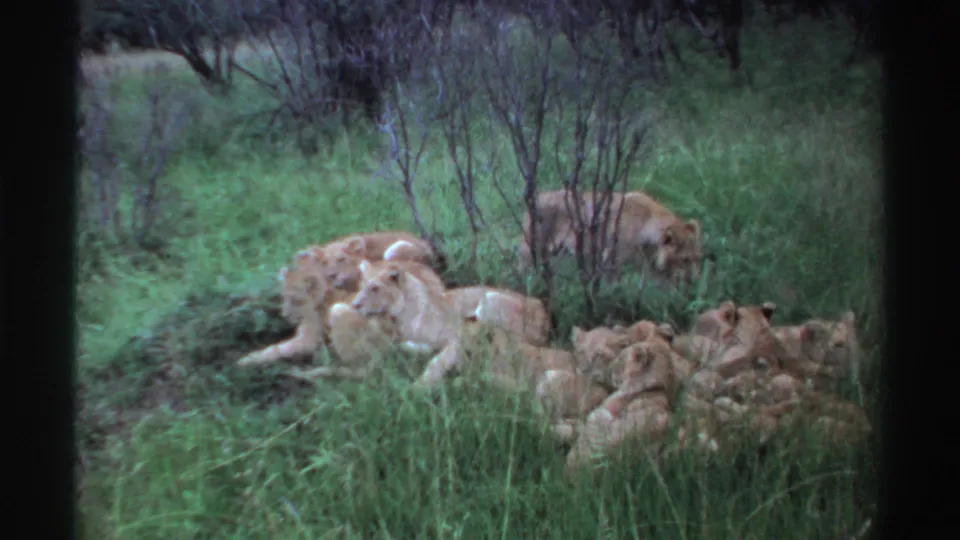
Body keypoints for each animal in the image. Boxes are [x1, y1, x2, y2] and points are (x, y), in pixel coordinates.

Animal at [518, 189, 705, 285]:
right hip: (532, 248)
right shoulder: (612, 259)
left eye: (697, 258)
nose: (695, 280)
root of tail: (535, 198)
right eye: (685, 259)